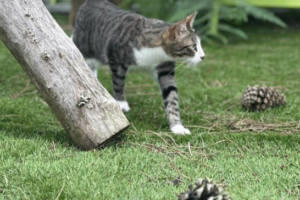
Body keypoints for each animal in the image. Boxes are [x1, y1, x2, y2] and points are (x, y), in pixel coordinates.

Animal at [71, 0, 205, 135]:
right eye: (194, 46)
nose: (203, 56)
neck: (155, 54)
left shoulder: (165, 68)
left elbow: (171, 95)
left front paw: (177, 126)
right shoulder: (115, 56)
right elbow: (118, 81)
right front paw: (121, 102)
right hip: (84, 43)